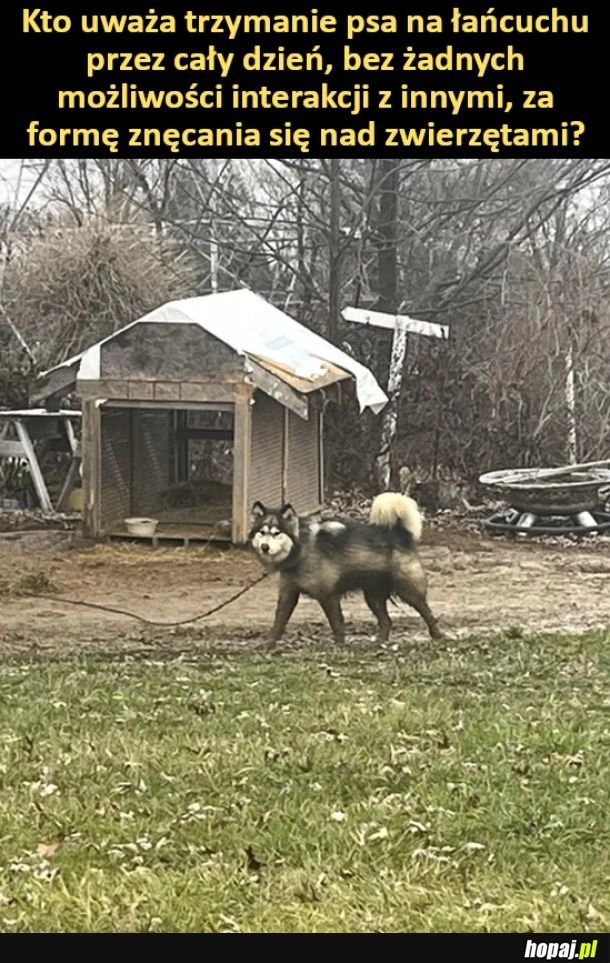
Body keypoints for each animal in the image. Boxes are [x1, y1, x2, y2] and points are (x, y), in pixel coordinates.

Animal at [248, 494, 442, 652]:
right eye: (262, 532)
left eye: (277, 533)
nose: (264, 547)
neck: (301, 549)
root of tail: (400, 532)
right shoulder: (288, 594)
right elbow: (278, 623)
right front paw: (268, 645)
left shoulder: (328, 596)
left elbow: (337, 624)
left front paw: (340, 646)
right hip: (373, 597)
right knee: (387, 621)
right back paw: (379, 642)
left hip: (408, 591)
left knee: (427, 613)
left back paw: (438, 636)